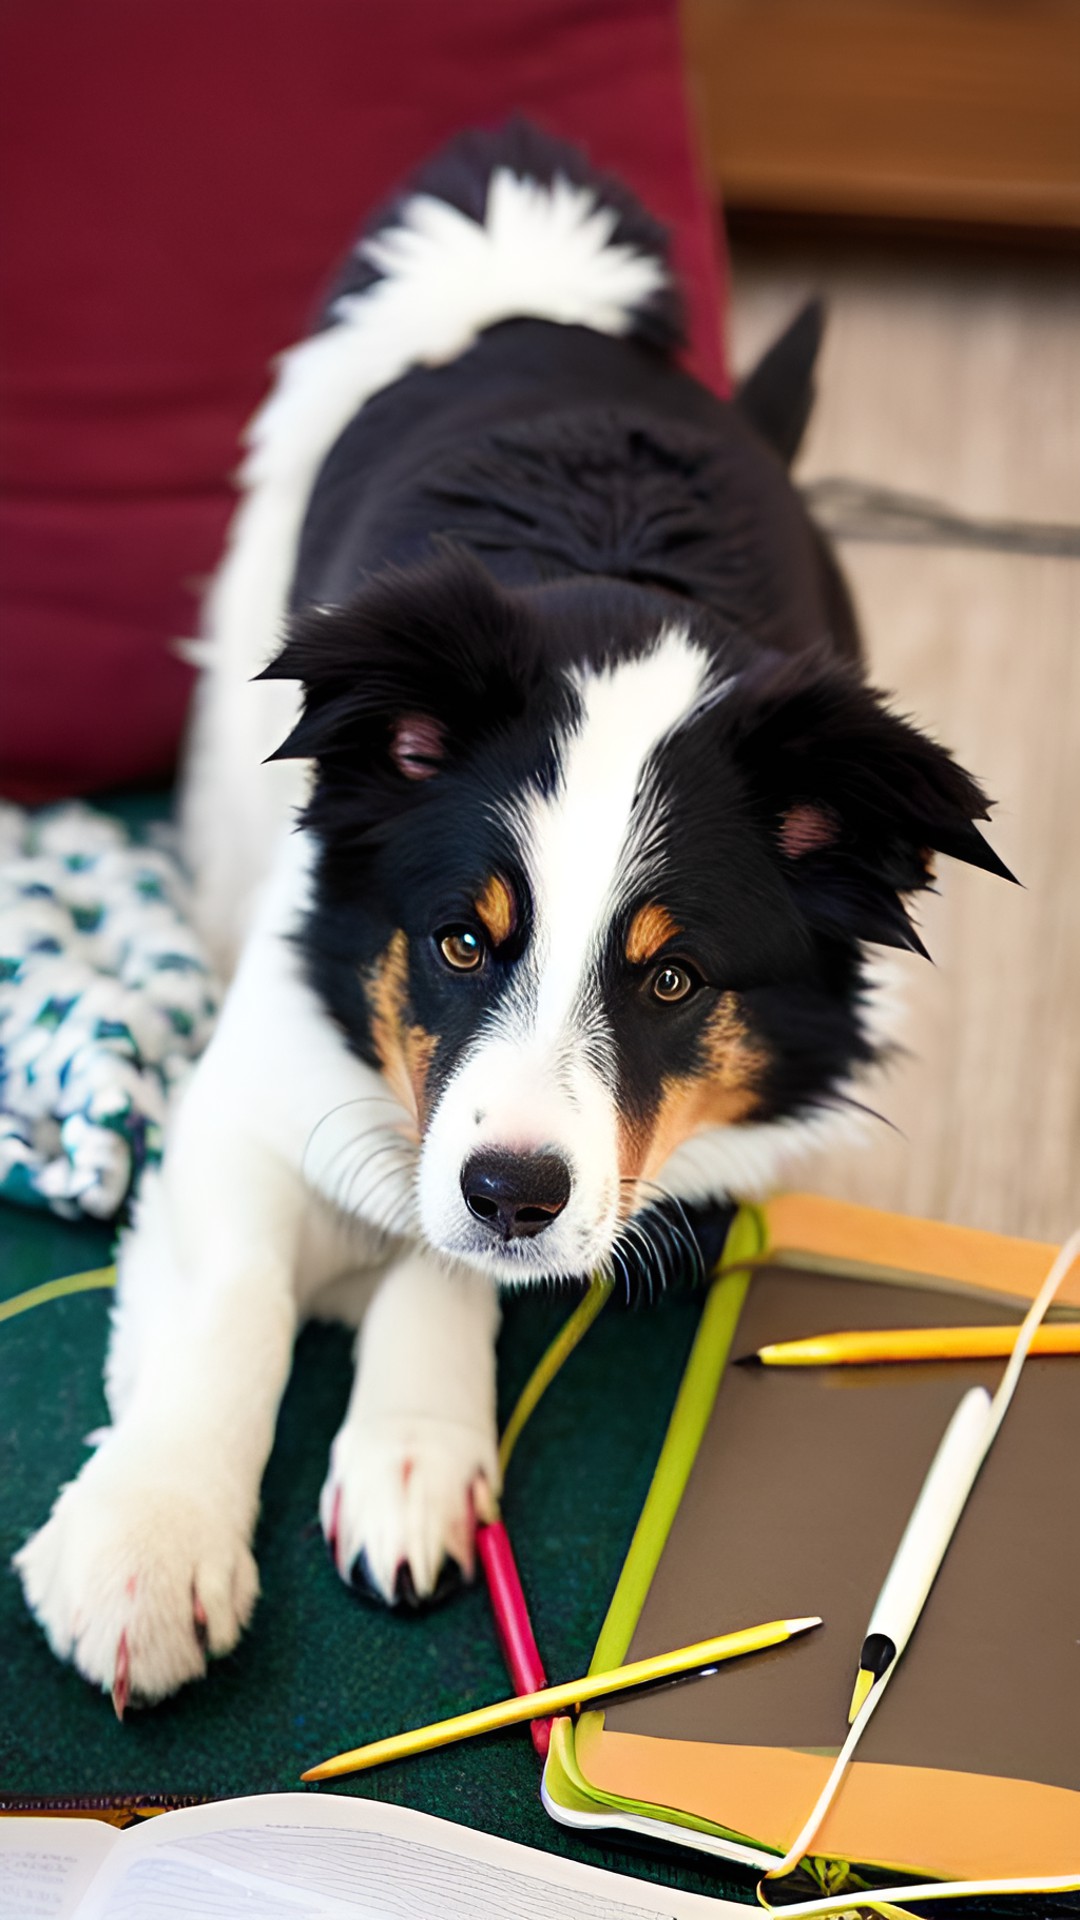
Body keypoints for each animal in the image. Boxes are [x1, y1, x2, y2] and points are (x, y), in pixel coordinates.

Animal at [16, 123, 1006, 1712]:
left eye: (673, 983)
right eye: (462, 940)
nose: (512, 1195)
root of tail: (539, 299)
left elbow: (445, 1243)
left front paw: (412, 1442)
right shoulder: (272, 1071)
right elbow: (239, 1287)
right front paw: (151, 1542)